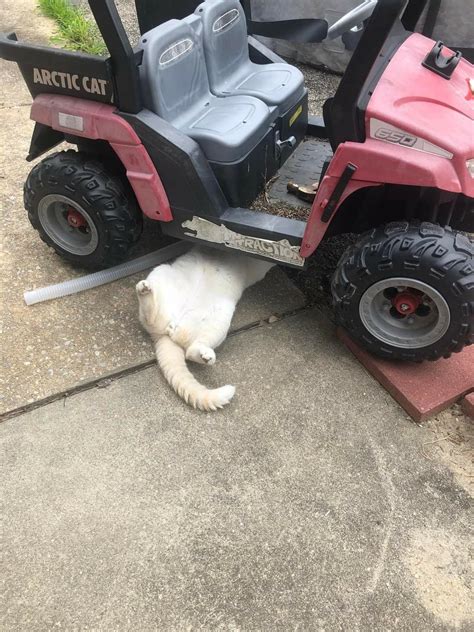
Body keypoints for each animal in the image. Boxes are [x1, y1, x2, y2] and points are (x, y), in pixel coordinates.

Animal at [135, 244, 272, 412]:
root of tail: (169, 332)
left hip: (221, 317)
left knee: (190, 349)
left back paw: (205, 355)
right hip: (162, 272)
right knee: (152, 318)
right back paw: (144, 290)